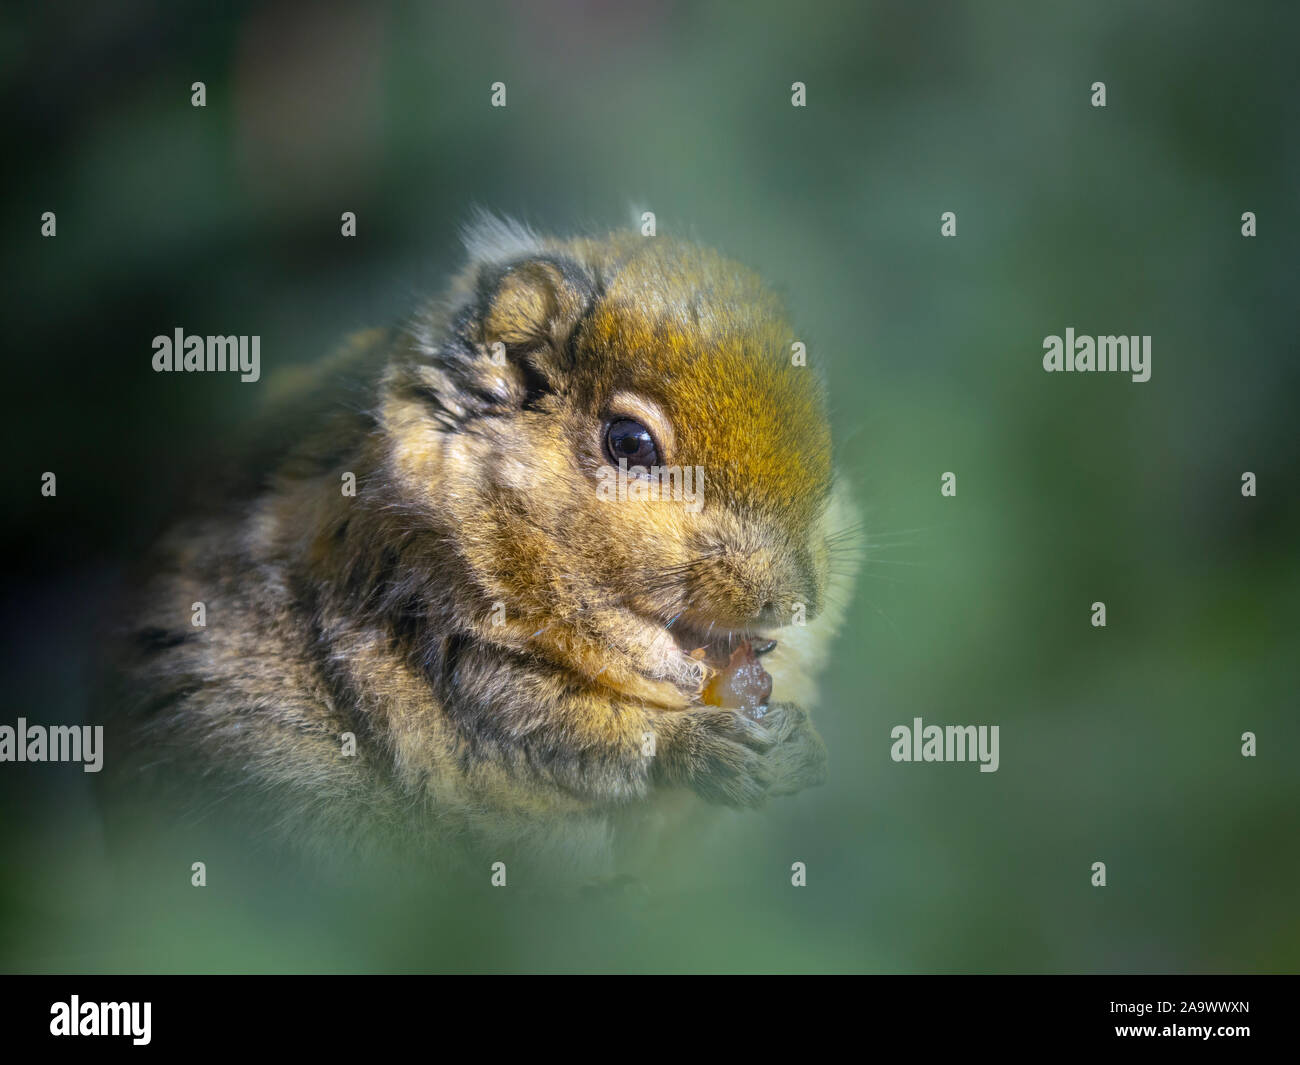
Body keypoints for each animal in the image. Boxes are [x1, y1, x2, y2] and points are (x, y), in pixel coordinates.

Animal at [100, 215, 859, 880]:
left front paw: (805, 750)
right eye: (629, 442)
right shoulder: (410, 599)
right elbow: (542, 724)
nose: (790, 598)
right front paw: (697, 746)